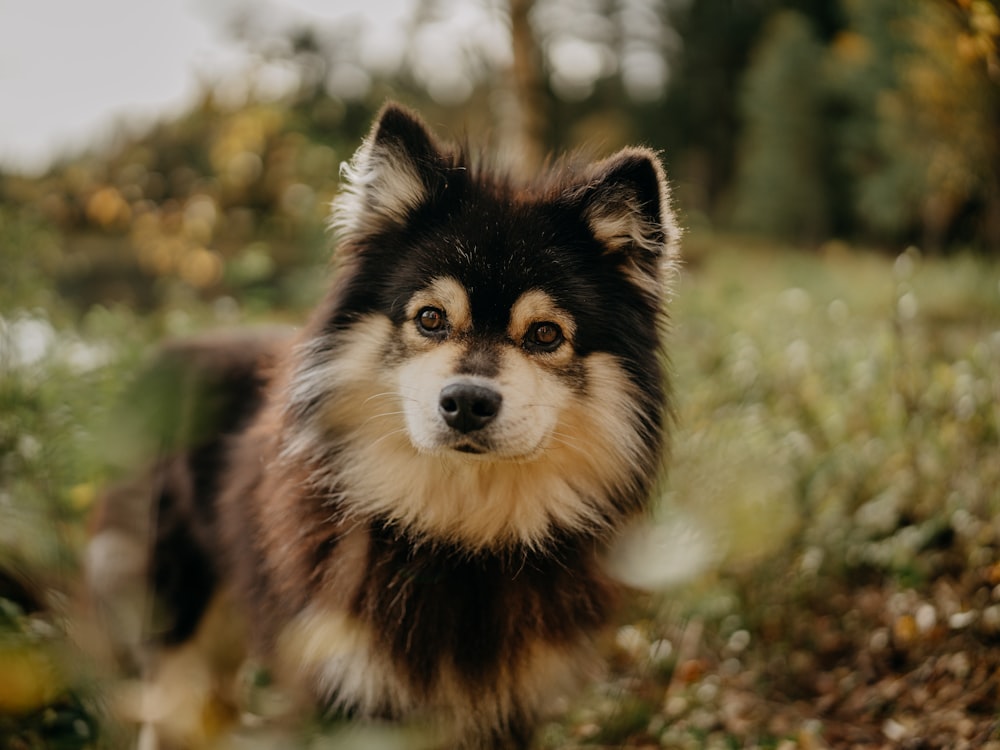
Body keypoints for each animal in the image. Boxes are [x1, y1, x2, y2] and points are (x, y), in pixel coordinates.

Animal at [86, 101, 680, 750]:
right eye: (431, 318)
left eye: (546, 334)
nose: (467, 402)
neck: (458, 537)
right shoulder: (346, 687)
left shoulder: (510, 706)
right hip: (179, 627)